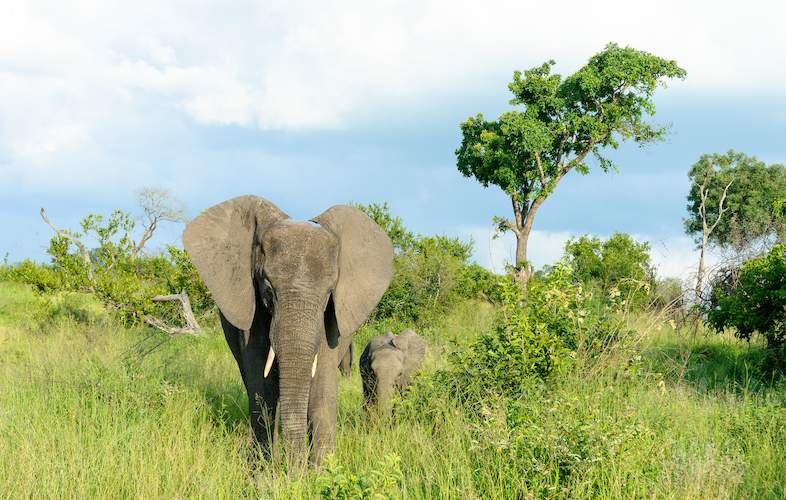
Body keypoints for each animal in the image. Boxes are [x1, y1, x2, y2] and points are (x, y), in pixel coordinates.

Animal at [184, 195, 392, 464]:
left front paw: (323, 470)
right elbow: (261, 384)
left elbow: (321, 384)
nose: (295, 470)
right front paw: (263, 472)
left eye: (329, 293)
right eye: (268, 289)